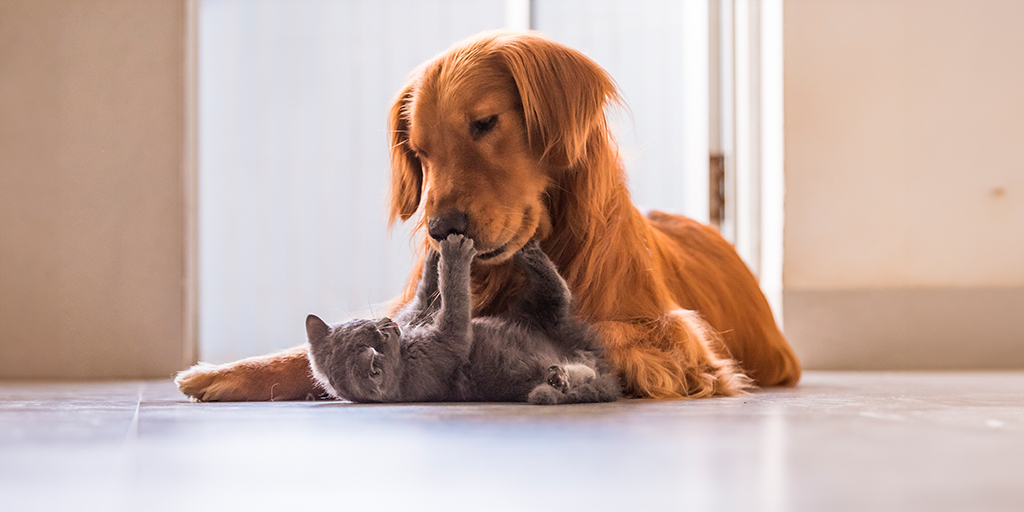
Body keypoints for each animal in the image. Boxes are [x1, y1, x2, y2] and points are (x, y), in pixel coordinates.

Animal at [303, 234, 618, 405]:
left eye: (367, 326)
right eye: (379, 342)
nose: (388, 325)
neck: (405, 352)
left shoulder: (417, 315)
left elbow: (427, 294)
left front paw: (434, 251)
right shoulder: (445, 345)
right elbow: (454, 301)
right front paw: (453, 252)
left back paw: (528, 251)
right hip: (547, 322)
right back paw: (558, 377)